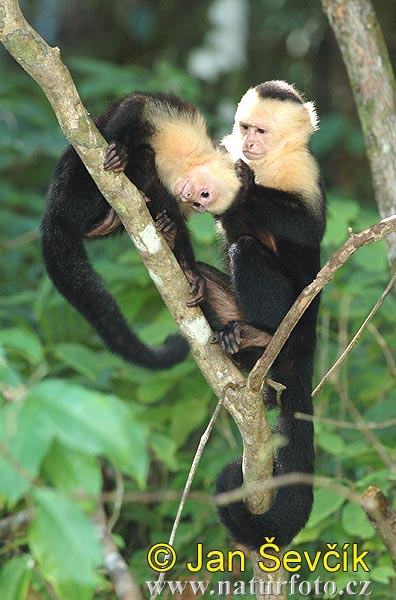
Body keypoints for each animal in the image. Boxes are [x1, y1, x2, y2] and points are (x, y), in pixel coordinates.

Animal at [42, 92, 241, 370]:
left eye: (200, 202)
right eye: (204, 194)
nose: (193, 200)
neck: (182, 164)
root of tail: (55, 210)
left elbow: (177, 220)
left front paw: (190, 271)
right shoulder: (180, 126)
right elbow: (134, 109)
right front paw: (118, 147)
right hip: (76, 189)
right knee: (141, 155)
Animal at [181, 81, 326, 548]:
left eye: (260, 131)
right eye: (244, 128)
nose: (248, 145)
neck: (270, 164)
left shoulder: (304, 169)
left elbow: (307, 228)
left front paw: (243, 186)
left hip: (295, 315)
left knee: (246, 250)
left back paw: (261, 334)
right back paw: (237, 342)